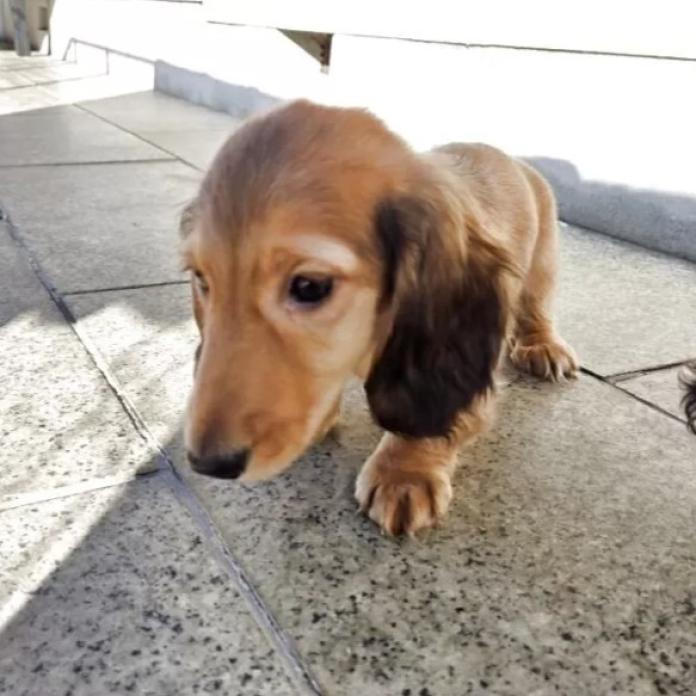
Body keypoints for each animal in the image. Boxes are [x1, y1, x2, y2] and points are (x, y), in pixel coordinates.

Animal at [180, 99, 578, 536]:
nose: (207, 464)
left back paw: (543, 346)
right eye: (201, 278)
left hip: (543, 263)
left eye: (309, 286)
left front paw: (404, 471)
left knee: (537, 309)